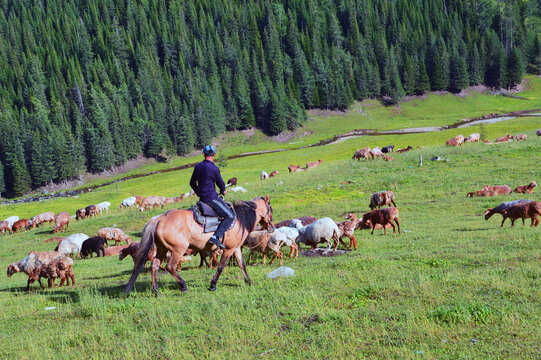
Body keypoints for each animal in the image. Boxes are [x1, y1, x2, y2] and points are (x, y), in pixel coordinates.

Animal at [124, 195, 272, 294]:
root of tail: (159, 219)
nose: (271, 227)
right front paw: (213, 285)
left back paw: (156, 291)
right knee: (170, 267)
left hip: (162, 249)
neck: (240, 219)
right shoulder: (229, 249)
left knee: (155, 266)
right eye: (270, 209)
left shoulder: (235, 248)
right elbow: (221, 267)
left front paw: (249, 281)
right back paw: (183, 286)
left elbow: (242, 264)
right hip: (178, 250)